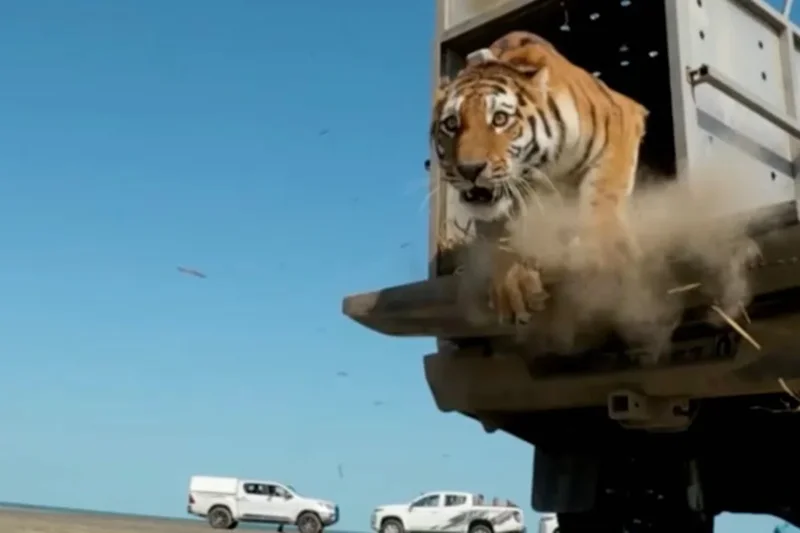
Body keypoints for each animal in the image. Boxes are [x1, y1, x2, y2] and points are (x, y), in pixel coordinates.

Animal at [430, 31, 649, 324]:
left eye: (500, 119)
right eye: (451, 124)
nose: (469, 169)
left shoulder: (622, 116)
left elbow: (603, 191)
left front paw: (603, 251)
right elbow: (498, 229)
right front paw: (511, 282)